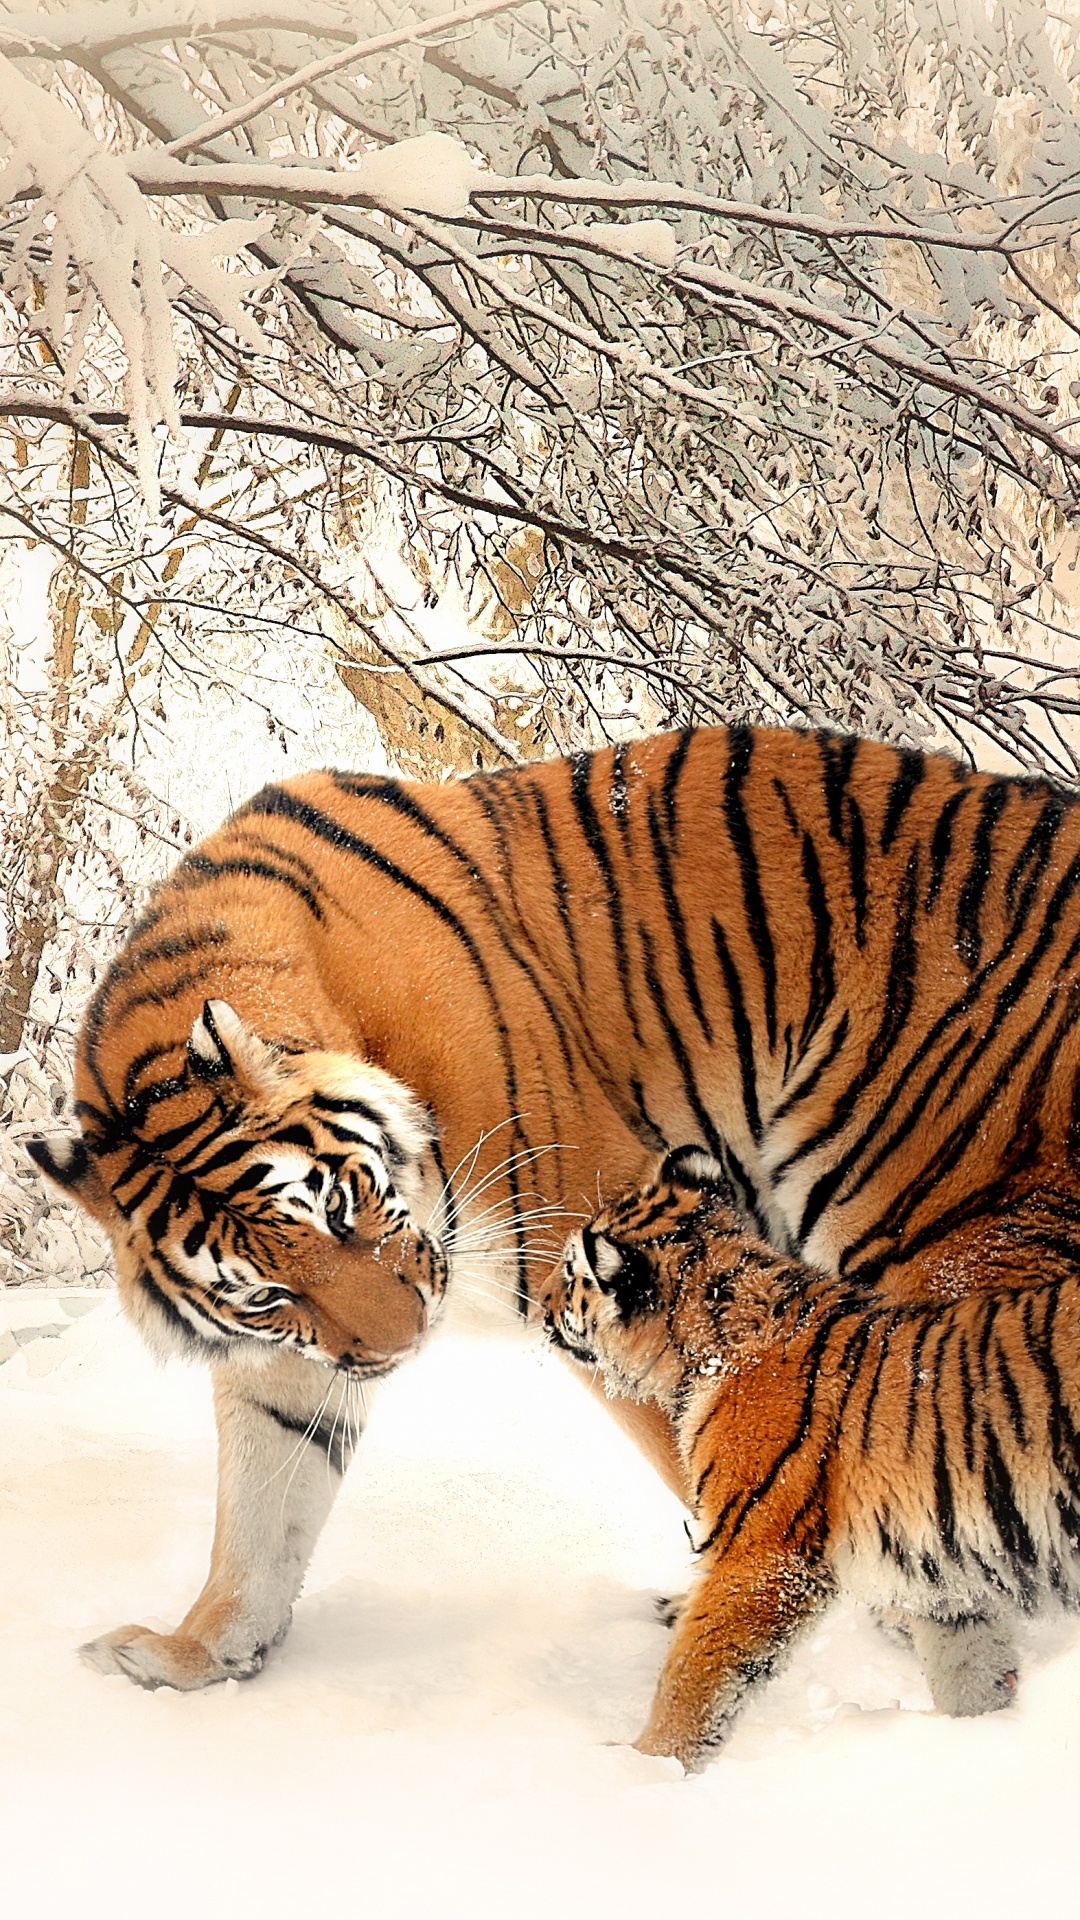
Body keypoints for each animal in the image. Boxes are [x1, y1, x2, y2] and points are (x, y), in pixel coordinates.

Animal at [27, 724, 1080, 1694]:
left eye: (341, 1207)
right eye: (265, 1297)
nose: (404, 1345)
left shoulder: (604, 1242)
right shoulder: (292, 1359)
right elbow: (262, 1502)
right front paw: (197, 1652)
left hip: (957, 1246)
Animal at [540, 1144, 1080, 1768]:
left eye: (569, 1274)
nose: (540, 1306)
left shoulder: (760, 1556)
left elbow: (692, 1676)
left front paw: (644, 1766)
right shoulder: (942, 1582)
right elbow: (970, 1670)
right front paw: (978, 1737)